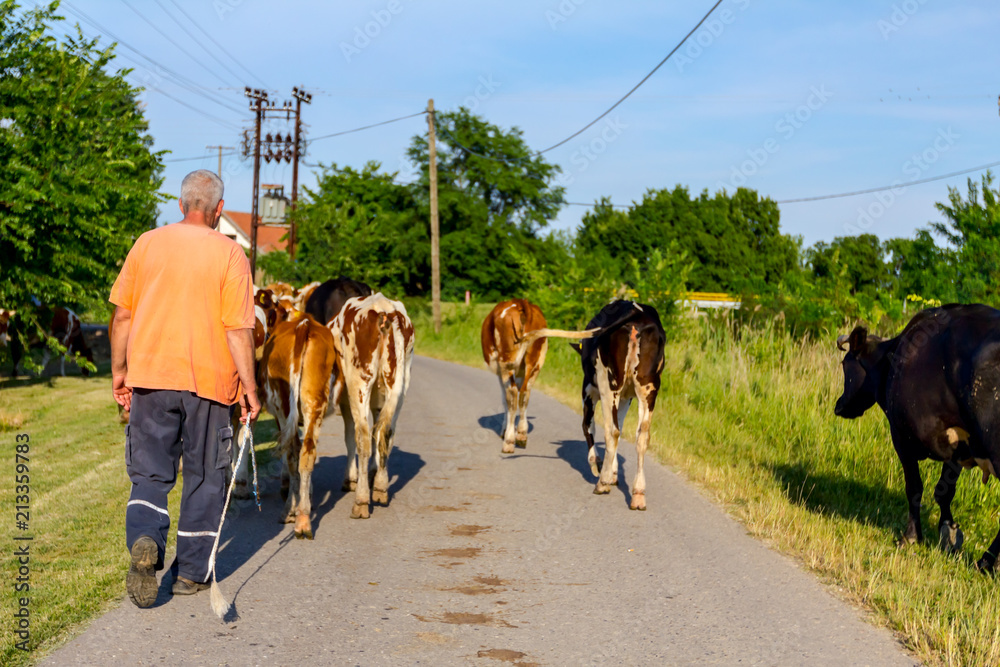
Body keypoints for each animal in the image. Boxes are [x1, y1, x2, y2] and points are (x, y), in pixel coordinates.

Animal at [332, 294, 414, 520]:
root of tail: (384, 309)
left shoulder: (346, 400)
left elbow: (350, 437)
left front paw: (350, 479)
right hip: (399, 384)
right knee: (387, 432)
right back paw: (380, 488)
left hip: (359, 382)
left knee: (362, 435)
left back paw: (361, 501)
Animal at [482, 302, 596, 454]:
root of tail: (521, 302)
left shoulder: (501, 373)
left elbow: (504, 400)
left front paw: (504, 430)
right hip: (535, 361)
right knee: (525, 392)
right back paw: (522, 435)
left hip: (507, 362)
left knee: (513, 394)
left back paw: (509, 442)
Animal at [572, 302, 664, 512]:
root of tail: (636, 313)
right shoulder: (626, 398)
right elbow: (621, 428)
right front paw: (613, 473)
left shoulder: (588, 390)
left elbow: (588, 426)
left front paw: (598, 466)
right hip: (648, 387)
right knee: (642, 436)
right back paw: (638, 495)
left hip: (609, 384)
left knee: (611, 430)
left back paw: (602, 483)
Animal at [836, 306, 1000, 572]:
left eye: (844, 364)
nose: (839, 405)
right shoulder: (957, 445)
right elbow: (944, 491)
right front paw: (950, 533)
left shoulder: (901, 437)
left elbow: (914, 487)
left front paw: (911, 536)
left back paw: (986, 562)